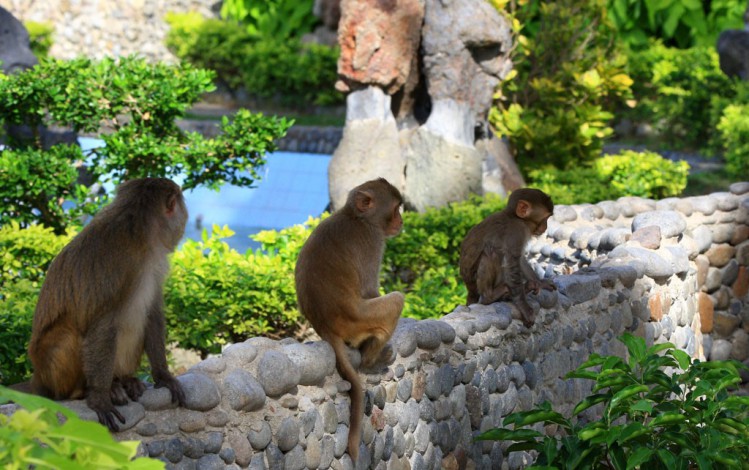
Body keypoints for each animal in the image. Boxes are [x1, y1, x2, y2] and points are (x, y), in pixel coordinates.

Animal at [31, 178, 190, 432]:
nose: (185, 215)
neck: (140, 232)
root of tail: (38, 375)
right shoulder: (120, 266)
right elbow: (102, 324)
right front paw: (99, 397)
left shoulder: (154, 265)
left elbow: (153, 312)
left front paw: (163, 375)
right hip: (53, 374)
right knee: (69, 333)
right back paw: (92, 389)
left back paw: (123, 380)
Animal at [296, 176, 406, 458]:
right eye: (395, 209)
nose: (401, 221)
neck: (357, 217)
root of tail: (325, 328)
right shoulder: (373, 241)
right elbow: (369, 290)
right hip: (359, 321)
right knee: (395, 300)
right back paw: (370, 361)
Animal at [456, 187, 556, 326]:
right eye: (545, 218)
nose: (545, 227)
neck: (515, 217)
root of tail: (469, 288)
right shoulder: (516, 232)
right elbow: (511, 263)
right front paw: (524, 306)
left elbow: (520, 259)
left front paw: (540, 283)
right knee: (491, 253)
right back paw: (490, 296)